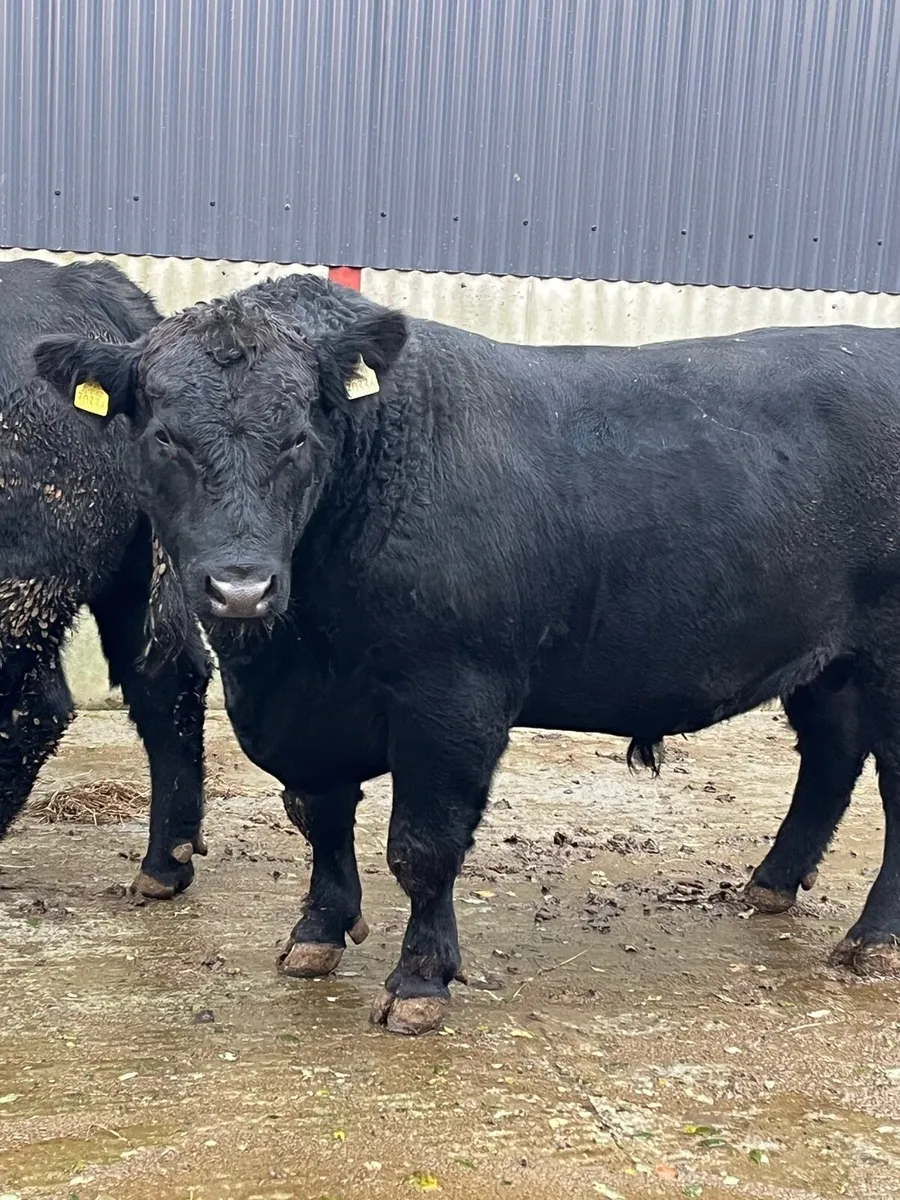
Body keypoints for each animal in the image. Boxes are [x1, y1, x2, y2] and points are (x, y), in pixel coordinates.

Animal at [33, 273, 900, 1035]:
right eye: (163, 438)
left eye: (300, 438)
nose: (240, 588)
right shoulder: (308, 714)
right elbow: (321, 816)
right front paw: (317, 933)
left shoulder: (452, 695)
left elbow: (423, 847)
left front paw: (418, 983)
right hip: (829, 666)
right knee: (831, 756)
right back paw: (772, 885)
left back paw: (871, 940)